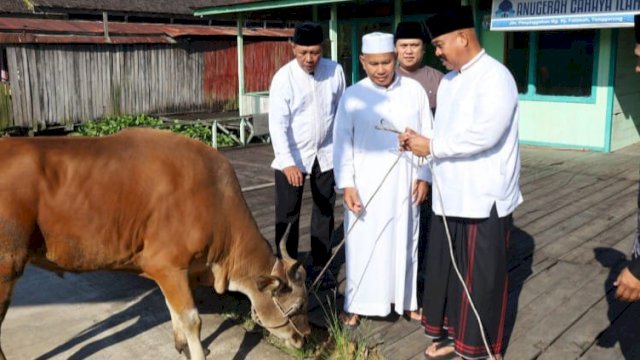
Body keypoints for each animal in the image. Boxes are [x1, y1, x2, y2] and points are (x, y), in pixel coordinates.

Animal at [0, 129, 312, 360]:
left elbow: (173, 310)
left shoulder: (172, 272)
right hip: (7, 267)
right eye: (298, 303)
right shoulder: (168, 265)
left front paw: (182, 345)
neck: (216, 198)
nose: (305, 338)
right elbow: (192, 320)